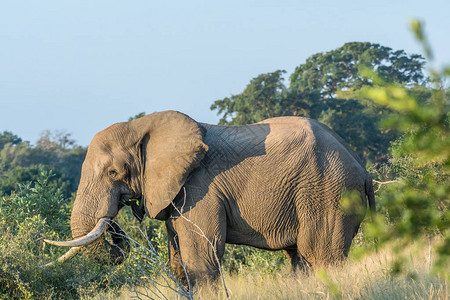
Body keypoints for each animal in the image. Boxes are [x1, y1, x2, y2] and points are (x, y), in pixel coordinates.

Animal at [45, 110, 376, 284]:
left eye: (114, 173)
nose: (117, 215)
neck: (141, 126)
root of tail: (361, 168)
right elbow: (179, 264)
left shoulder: (200, 188)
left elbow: (200, 262)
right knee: (299, 259)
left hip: (329, 193)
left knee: (321, 256)